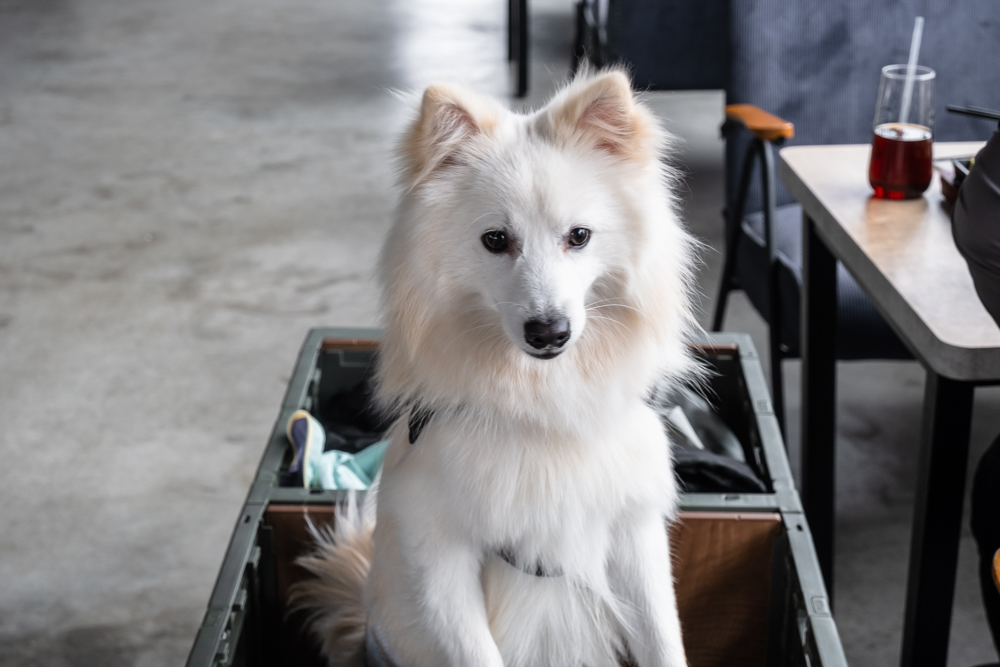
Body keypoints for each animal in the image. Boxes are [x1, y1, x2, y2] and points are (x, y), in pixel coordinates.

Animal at [290, 69, 696, 667]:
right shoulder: (438, 552)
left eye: (579, 236)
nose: (549, 332)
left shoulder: (633, 533)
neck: (542, 413)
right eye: (496, 240)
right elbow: (476, 651)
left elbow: (664, 642)